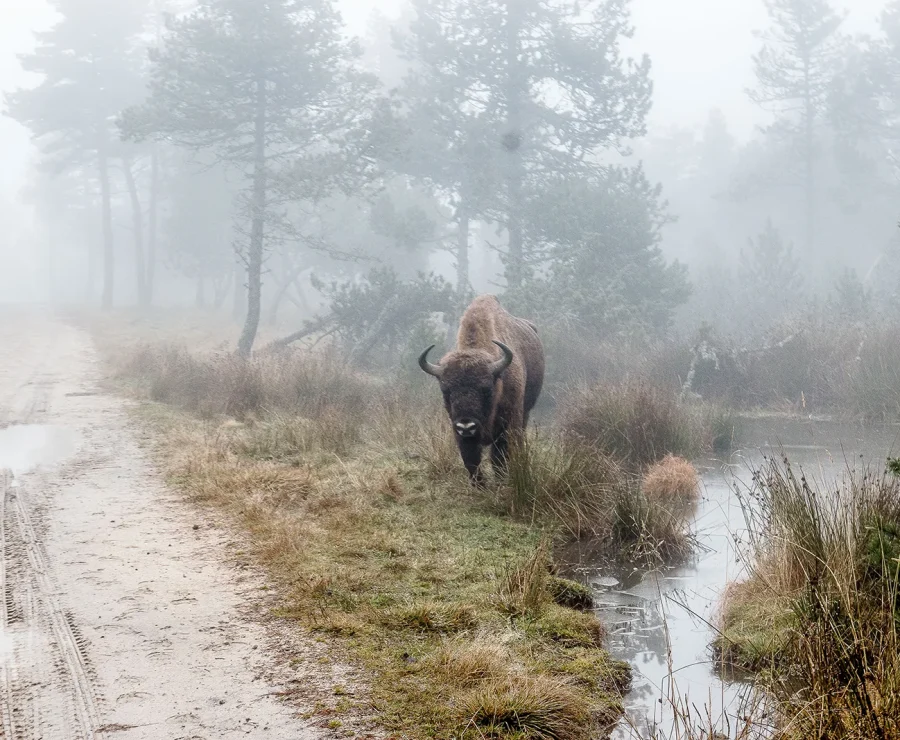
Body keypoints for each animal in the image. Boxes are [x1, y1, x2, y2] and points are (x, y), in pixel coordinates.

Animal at [418, 295, 544, 484]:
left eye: (486, 389)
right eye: (446, 391)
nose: (466, 425)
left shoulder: (508, 424)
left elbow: (499, 457)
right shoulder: (458, 431)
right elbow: (470, 460)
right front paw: (480, 485)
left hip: (525, 412)